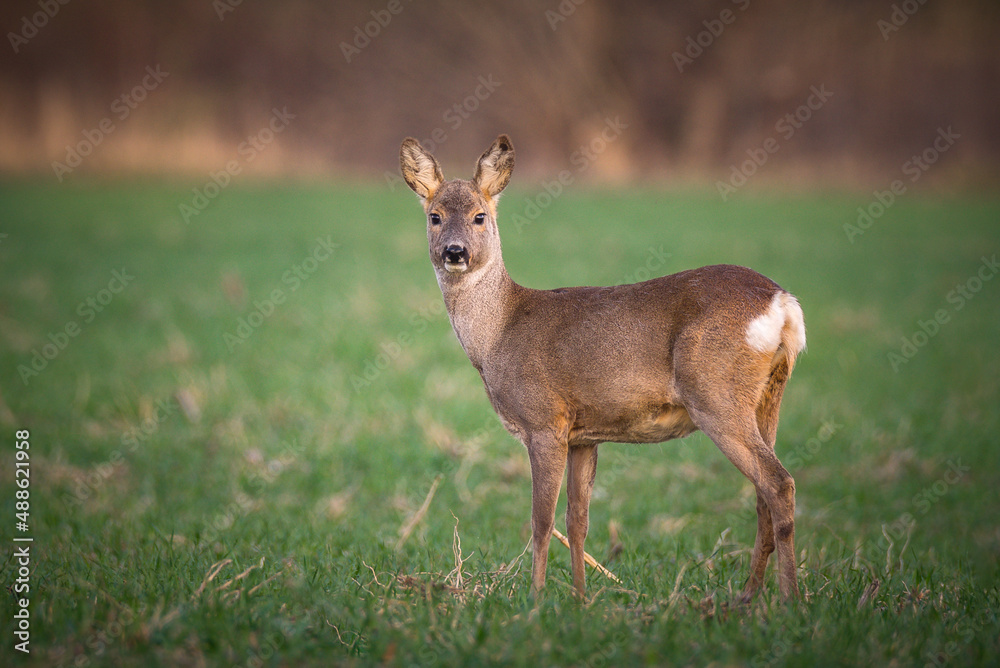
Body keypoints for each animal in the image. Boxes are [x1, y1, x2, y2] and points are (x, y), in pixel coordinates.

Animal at [398, 134, 804, 600]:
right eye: (434, 216)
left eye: (480, 216)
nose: (455, 252)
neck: (500, 333)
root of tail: (783, 303)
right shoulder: (584, 435)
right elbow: (577, 520)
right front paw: (579, 597)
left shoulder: (545, 421)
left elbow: (541, 521)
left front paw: (535, 599)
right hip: (768, 396)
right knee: (763, 492)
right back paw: (749, 598)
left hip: (715, 394)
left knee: (777, 483)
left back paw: (788, 599)